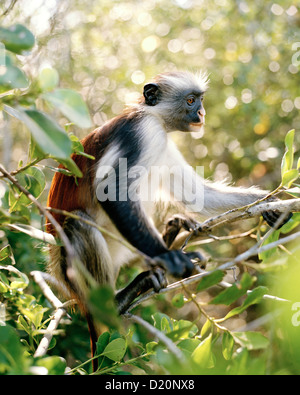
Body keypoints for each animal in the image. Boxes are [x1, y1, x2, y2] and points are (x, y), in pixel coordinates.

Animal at [47, 70, 290, 346]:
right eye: (190, 101)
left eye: (200, 100)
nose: (202, 113)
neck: (153, 115)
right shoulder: (144, 131)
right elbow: (110, 191)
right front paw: (167, 257)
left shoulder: (162, 141)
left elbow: (198, 195)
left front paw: (270, 203)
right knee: (77, 222)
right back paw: (118, 300)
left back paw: (172, 233)